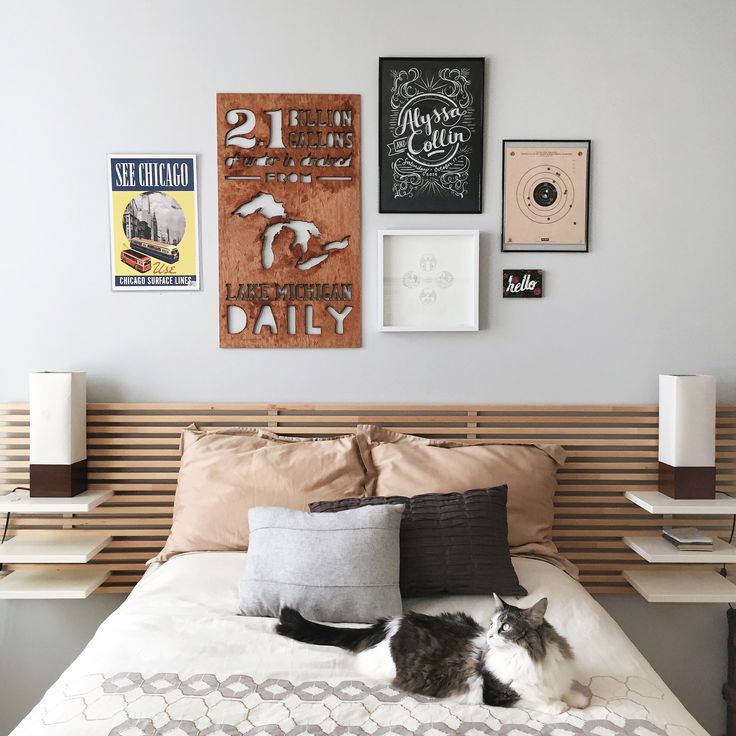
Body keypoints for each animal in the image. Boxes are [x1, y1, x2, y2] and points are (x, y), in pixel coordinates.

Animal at [276, 596, 592, 716]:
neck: (532, 657)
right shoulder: (496, 694)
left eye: (504, 627)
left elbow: (565, 689)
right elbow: (537, 699)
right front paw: (558, 706)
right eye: (491, 625)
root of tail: (390, 623)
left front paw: (578, 699)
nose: (490, 636)